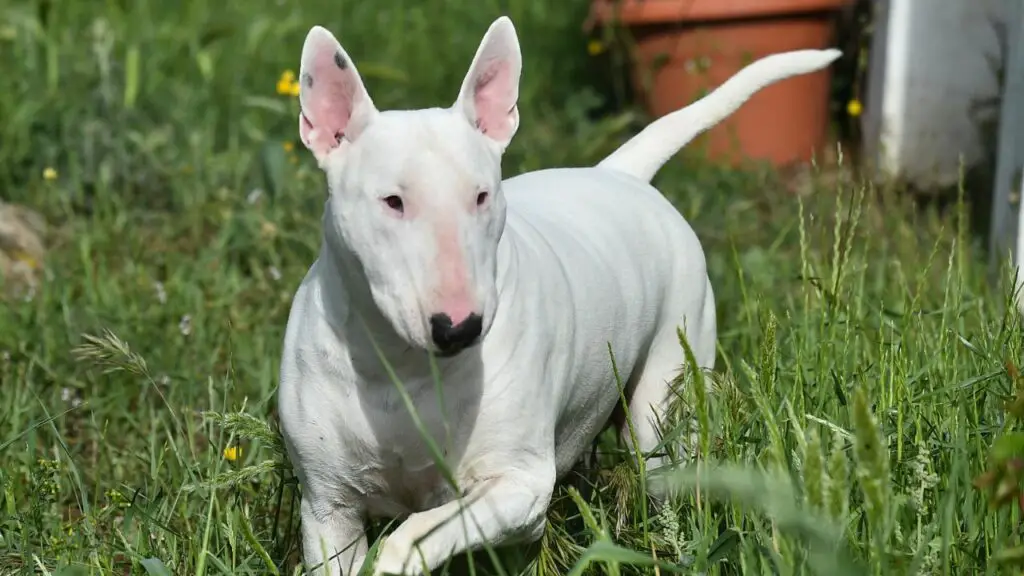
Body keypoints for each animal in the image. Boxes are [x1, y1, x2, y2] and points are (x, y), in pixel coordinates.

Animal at [280, 14, 839, 573]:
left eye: (482, 195)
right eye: (392, 201)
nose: (460, 328)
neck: (404, 366)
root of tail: (619, 174)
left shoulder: (520, 487)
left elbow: (414, 533)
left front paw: (393, 560)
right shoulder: (328, 509)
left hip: (666, 398)